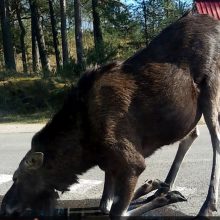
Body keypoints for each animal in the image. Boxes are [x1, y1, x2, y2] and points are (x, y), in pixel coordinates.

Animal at [0, 13, 219, 217]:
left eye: (16, 177)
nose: (4, 207)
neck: (84, 152)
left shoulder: (132, 162)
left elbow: (115, 211)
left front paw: (164, 196)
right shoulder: (110, 164)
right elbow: (105, 205)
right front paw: (153, 186)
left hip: (211, 89)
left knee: (215, 140)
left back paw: (207, 206)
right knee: (192, 135)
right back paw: (165, 186)